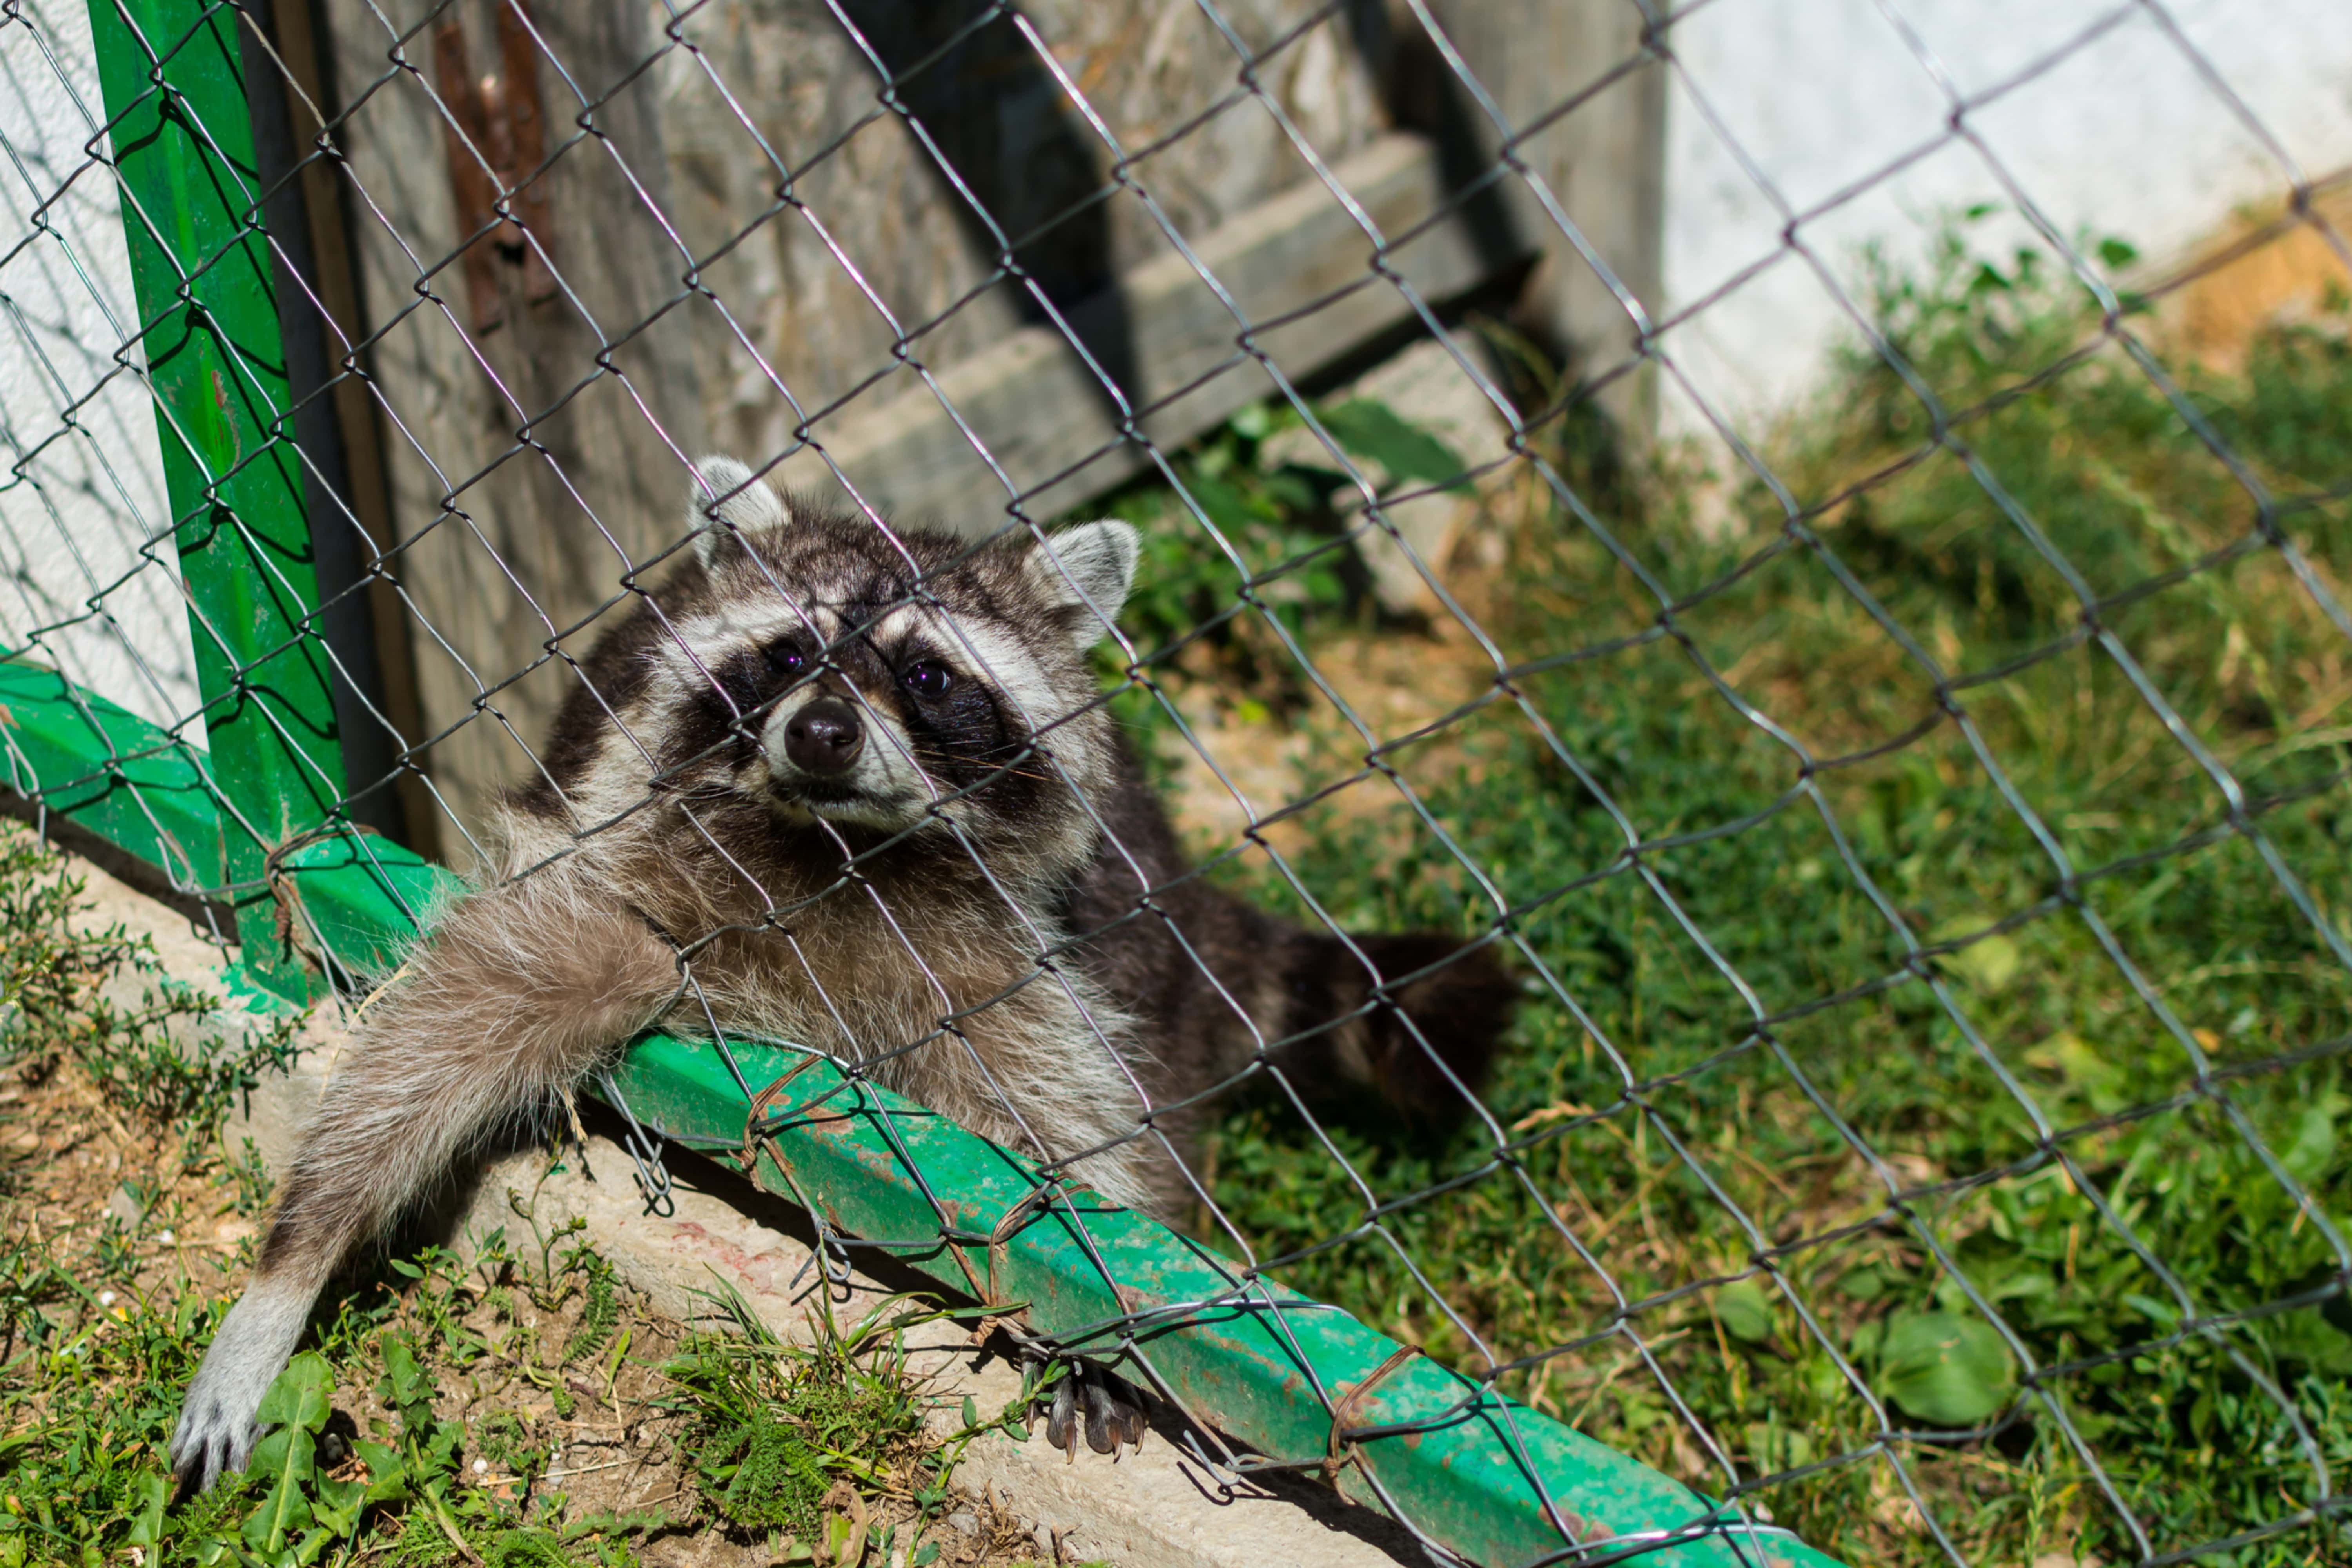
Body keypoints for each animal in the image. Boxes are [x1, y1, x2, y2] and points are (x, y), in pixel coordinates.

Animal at [166, 461, 1505, 1495]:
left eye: (926, 675)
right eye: (791, 651)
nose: (819, 733)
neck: (837, 851)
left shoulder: (1018, 960)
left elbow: (1071, 1127)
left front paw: (1101, 1316)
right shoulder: (622, 856)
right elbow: (469, 1010)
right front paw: (293, 1263)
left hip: (1144, 943)